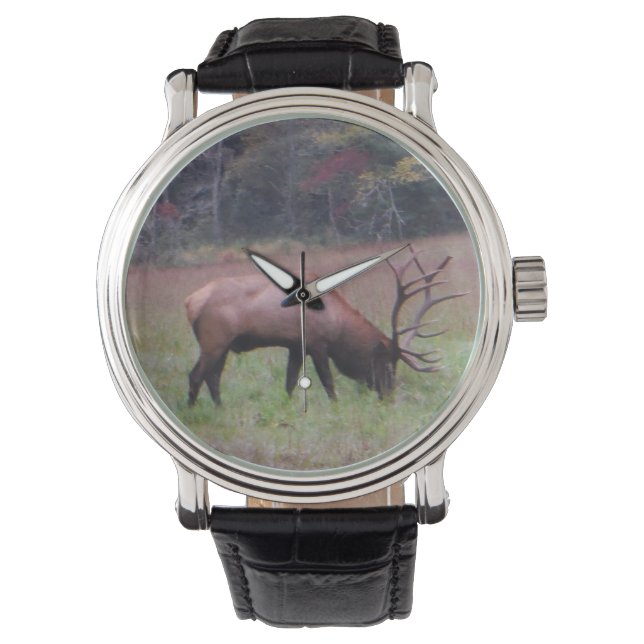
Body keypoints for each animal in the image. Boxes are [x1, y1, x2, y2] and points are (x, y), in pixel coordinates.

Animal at [185, 247, 465, 406]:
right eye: (388, 363)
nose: (388, 396)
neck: (339, 324)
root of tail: (190, 302)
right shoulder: (317, 343)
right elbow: (328, 383)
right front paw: (336, 409)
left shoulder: (295, 346)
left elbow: (289, 383)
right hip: (214, 340)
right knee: (196, 375)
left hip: (222, 345)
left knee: (213, 377)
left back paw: (220, 408)